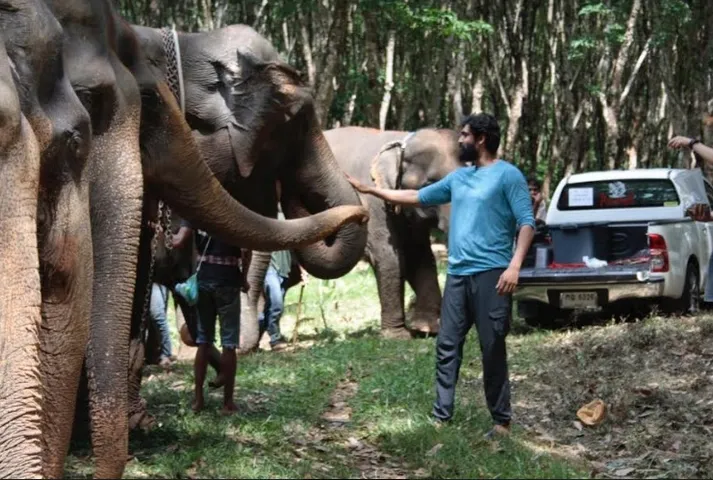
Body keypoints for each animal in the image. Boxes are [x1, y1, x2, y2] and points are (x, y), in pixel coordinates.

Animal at [324, 125, 458, 340]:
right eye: (430, 184)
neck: (400, 140)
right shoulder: (370, 204)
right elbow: (389, 257)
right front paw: (398, 336)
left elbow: (419, 256)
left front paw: (427, 329)